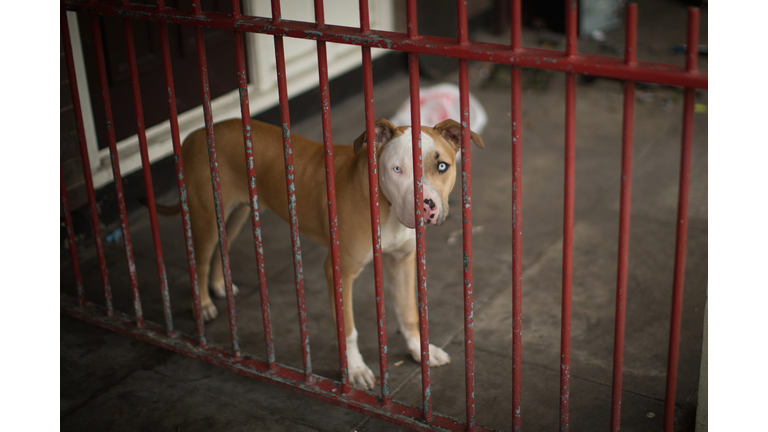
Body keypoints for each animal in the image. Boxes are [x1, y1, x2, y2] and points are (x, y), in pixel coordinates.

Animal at [161, 117, 484, 388]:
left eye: (442, 167)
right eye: (397, 169)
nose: (426, 207)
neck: (385, 205)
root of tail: (198, 133)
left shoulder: (401, 262)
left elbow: (408, 314)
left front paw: (421, 350)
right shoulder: (340, 271)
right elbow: (349, 330)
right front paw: (356, 370)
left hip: (237, 212)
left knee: (222, 249)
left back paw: (220, 286)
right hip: (204, 216)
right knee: (200, 260)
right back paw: (203, 305)